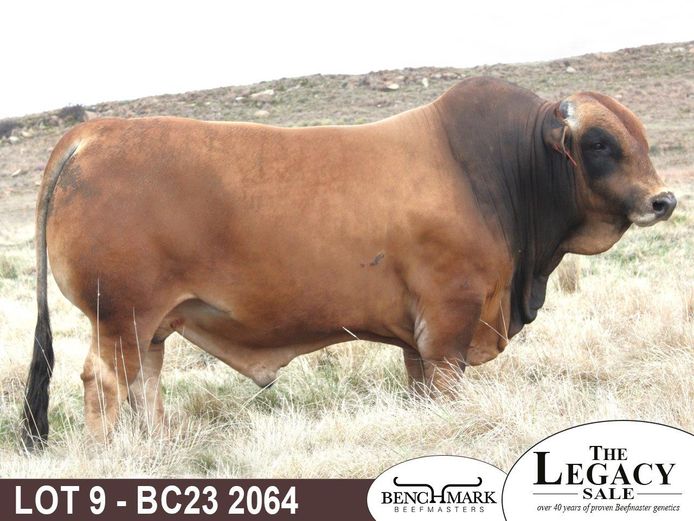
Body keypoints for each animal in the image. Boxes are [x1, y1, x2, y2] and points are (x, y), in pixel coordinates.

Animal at [21, 77, 676, 449]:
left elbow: (420, 390)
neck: (499, 169)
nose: (663, 200)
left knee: (145, 386)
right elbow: (446, 388)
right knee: (104, 383)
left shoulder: (418, 340)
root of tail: (92, 134)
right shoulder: (449, 325)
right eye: (599, 143)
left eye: (641, 136)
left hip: (152, 326)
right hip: (121, 319)